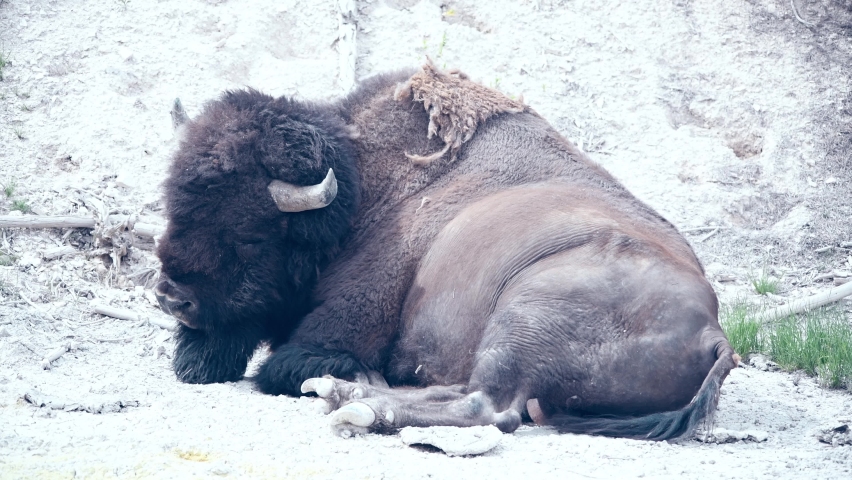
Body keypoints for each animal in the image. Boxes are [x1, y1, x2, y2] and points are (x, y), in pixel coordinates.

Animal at [155, 62, 738, 440]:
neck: (362, 188)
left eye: (250, 235)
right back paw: (349, 392)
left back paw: (355, 403)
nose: (172, 298)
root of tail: (716, 335)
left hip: (527, 312)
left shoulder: (341, 325)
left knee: (491, 407)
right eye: (173, 207)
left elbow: (288, 362)